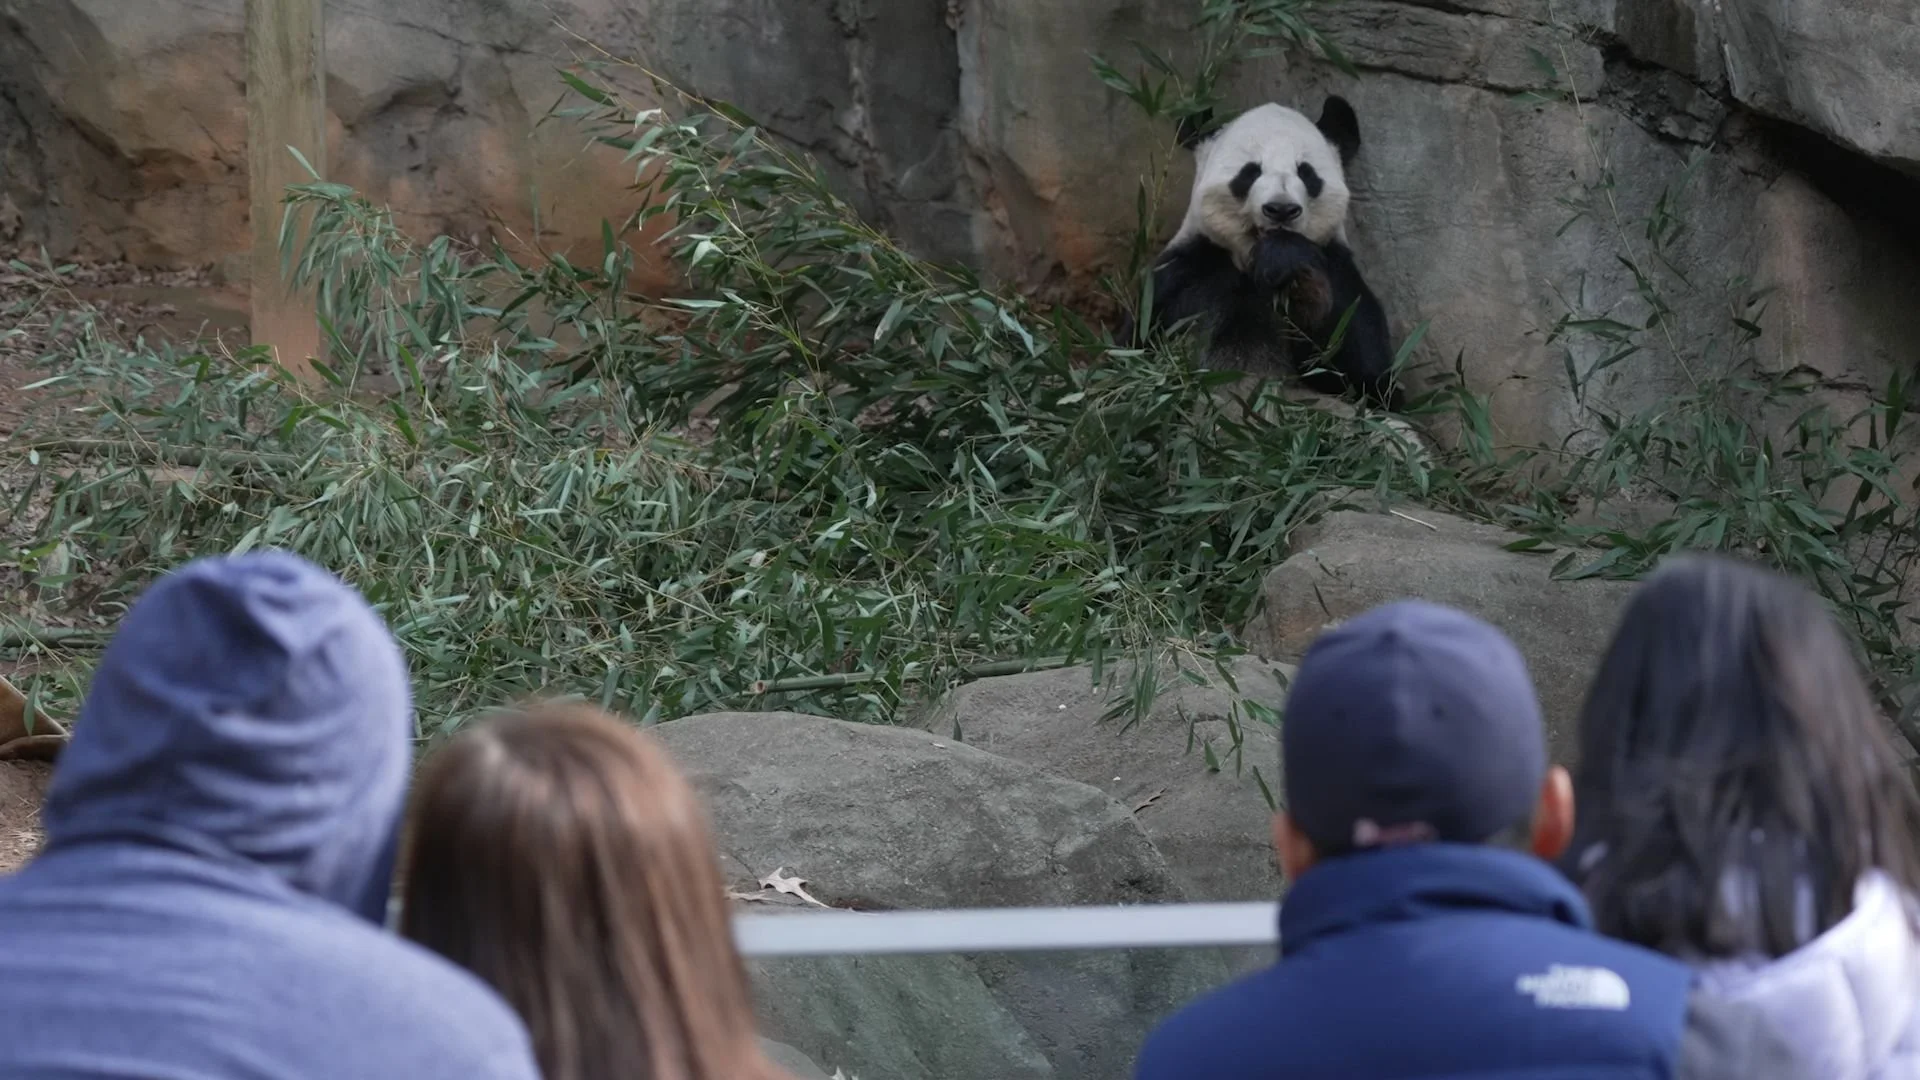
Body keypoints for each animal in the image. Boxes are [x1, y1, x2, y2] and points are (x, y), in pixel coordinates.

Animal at [1124, 96, 1402, 411]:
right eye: (1251, 171)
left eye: (1306, 173)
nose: (1281, 209)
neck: (1249, 262)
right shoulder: (1183, 276)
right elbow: (1131, 356)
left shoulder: (1338, 270)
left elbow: (1369, 378)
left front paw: (1291, 266)